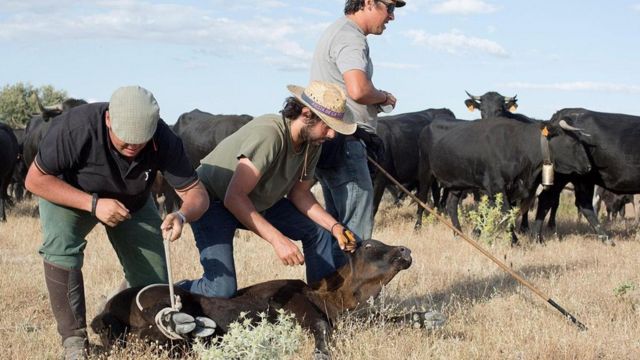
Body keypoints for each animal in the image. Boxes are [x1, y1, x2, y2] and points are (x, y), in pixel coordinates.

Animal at [90, 238, 440, 358]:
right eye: (368, 245)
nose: (405, 250)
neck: (336, 300)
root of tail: (106, 312)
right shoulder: (291, 302)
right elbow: (321, 329)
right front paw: (321, 352)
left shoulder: (359, 319)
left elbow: (391, 319)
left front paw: (426, 318)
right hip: (160, 305)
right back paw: (183, 324)